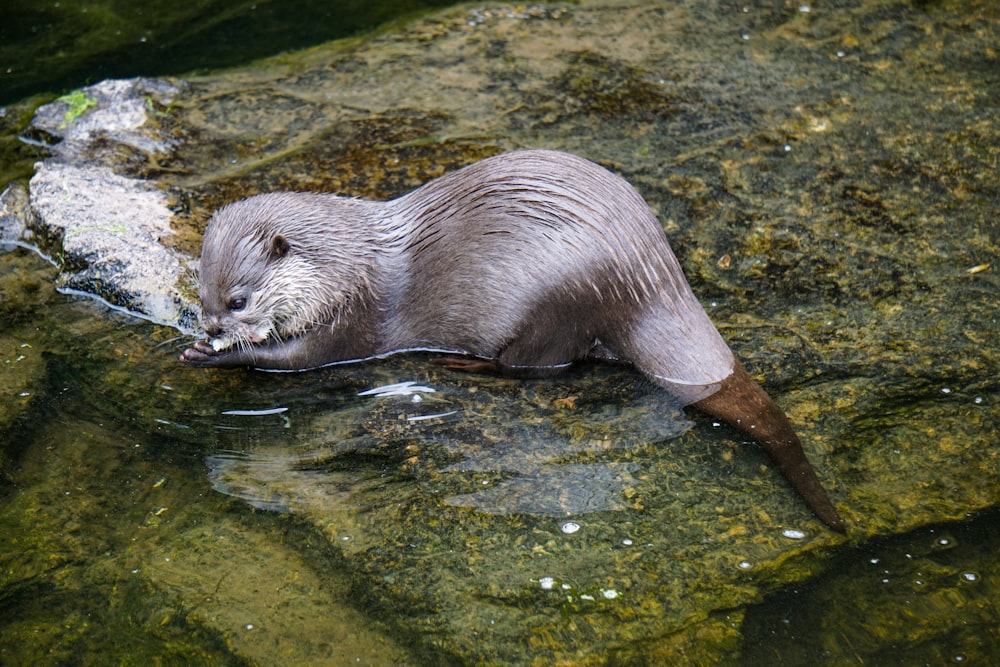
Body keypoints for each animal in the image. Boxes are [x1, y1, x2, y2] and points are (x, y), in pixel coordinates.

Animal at [180, 150, 844, 532]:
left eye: (238, 300)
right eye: (201, 289)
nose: (209, 326)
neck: (344, 267)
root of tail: (650, 280)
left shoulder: (351, 317)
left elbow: (297, 359)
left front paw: (211, 356)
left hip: (554, 305)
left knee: (536, 367)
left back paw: (468, 366)